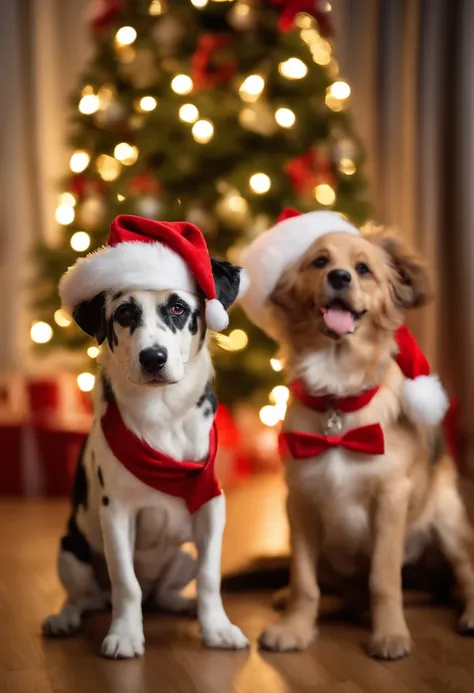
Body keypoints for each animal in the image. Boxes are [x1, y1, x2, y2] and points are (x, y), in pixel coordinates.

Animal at [43, 214, 250, 656]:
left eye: (178, 307)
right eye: (124, 313)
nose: (153, 358)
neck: (162, 413)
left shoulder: (210, 505)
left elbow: (211, 578)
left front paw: (217, 627)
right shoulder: (117, 512)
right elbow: (126, 583)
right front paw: (125, 634)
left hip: (181, 559)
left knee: (164, 591)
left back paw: (181, 604)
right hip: (71, 551)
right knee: (86, 596)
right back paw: (65, 618)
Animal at [241, 209, 474, 660]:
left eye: (363, 269)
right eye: (319, 262)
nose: (340, 277)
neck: (337, 398)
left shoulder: (390, 500)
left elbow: (383, 579)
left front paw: (390, 635)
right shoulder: (300, 502)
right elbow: (304, 581)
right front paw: (295, 628)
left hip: (447, 520)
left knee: (463, 574)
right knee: (342, 593)